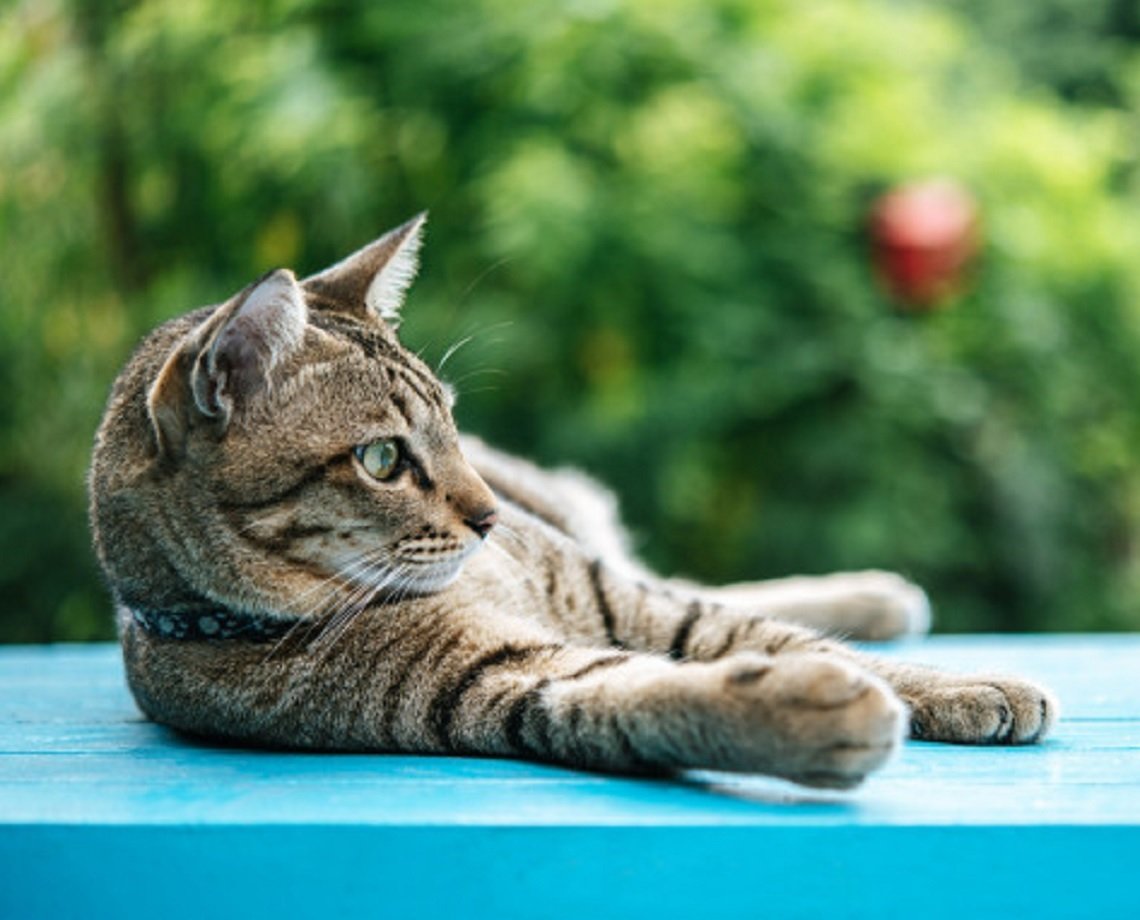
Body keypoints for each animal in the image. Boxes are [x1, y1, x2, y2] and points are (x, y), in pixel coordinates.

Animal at [88, 215, 1057, 793]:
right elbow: (646, 699)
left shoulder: (611, 596)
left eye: (453, 422)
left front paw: (957, 683)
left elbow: (752, 631)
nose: (488, 519)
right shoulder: (509, 685)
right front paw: (805, 713)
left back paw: (880, 595)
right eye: (382, 459)